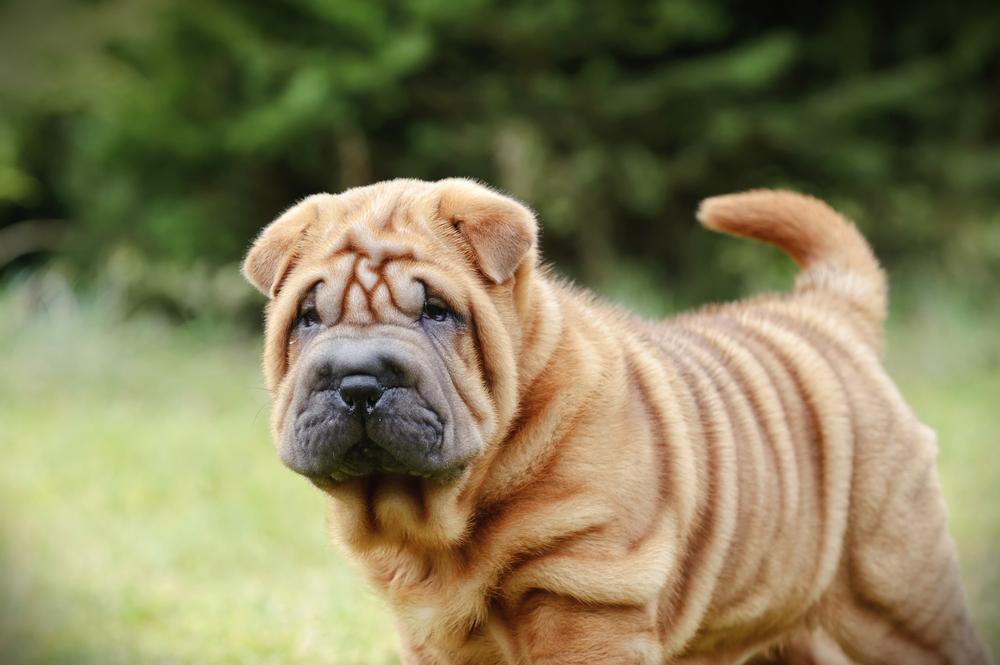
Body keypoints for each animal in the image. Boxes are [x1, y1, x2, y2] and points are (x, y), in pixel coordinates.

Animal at [238, 178, 988, 664]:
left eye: (437, 312)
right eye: (309, 317)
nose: (359, 379)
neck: (445, 519)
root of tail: (826, 311)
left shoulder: (588, 595)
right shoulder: (433, 633)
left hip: (898, 596)